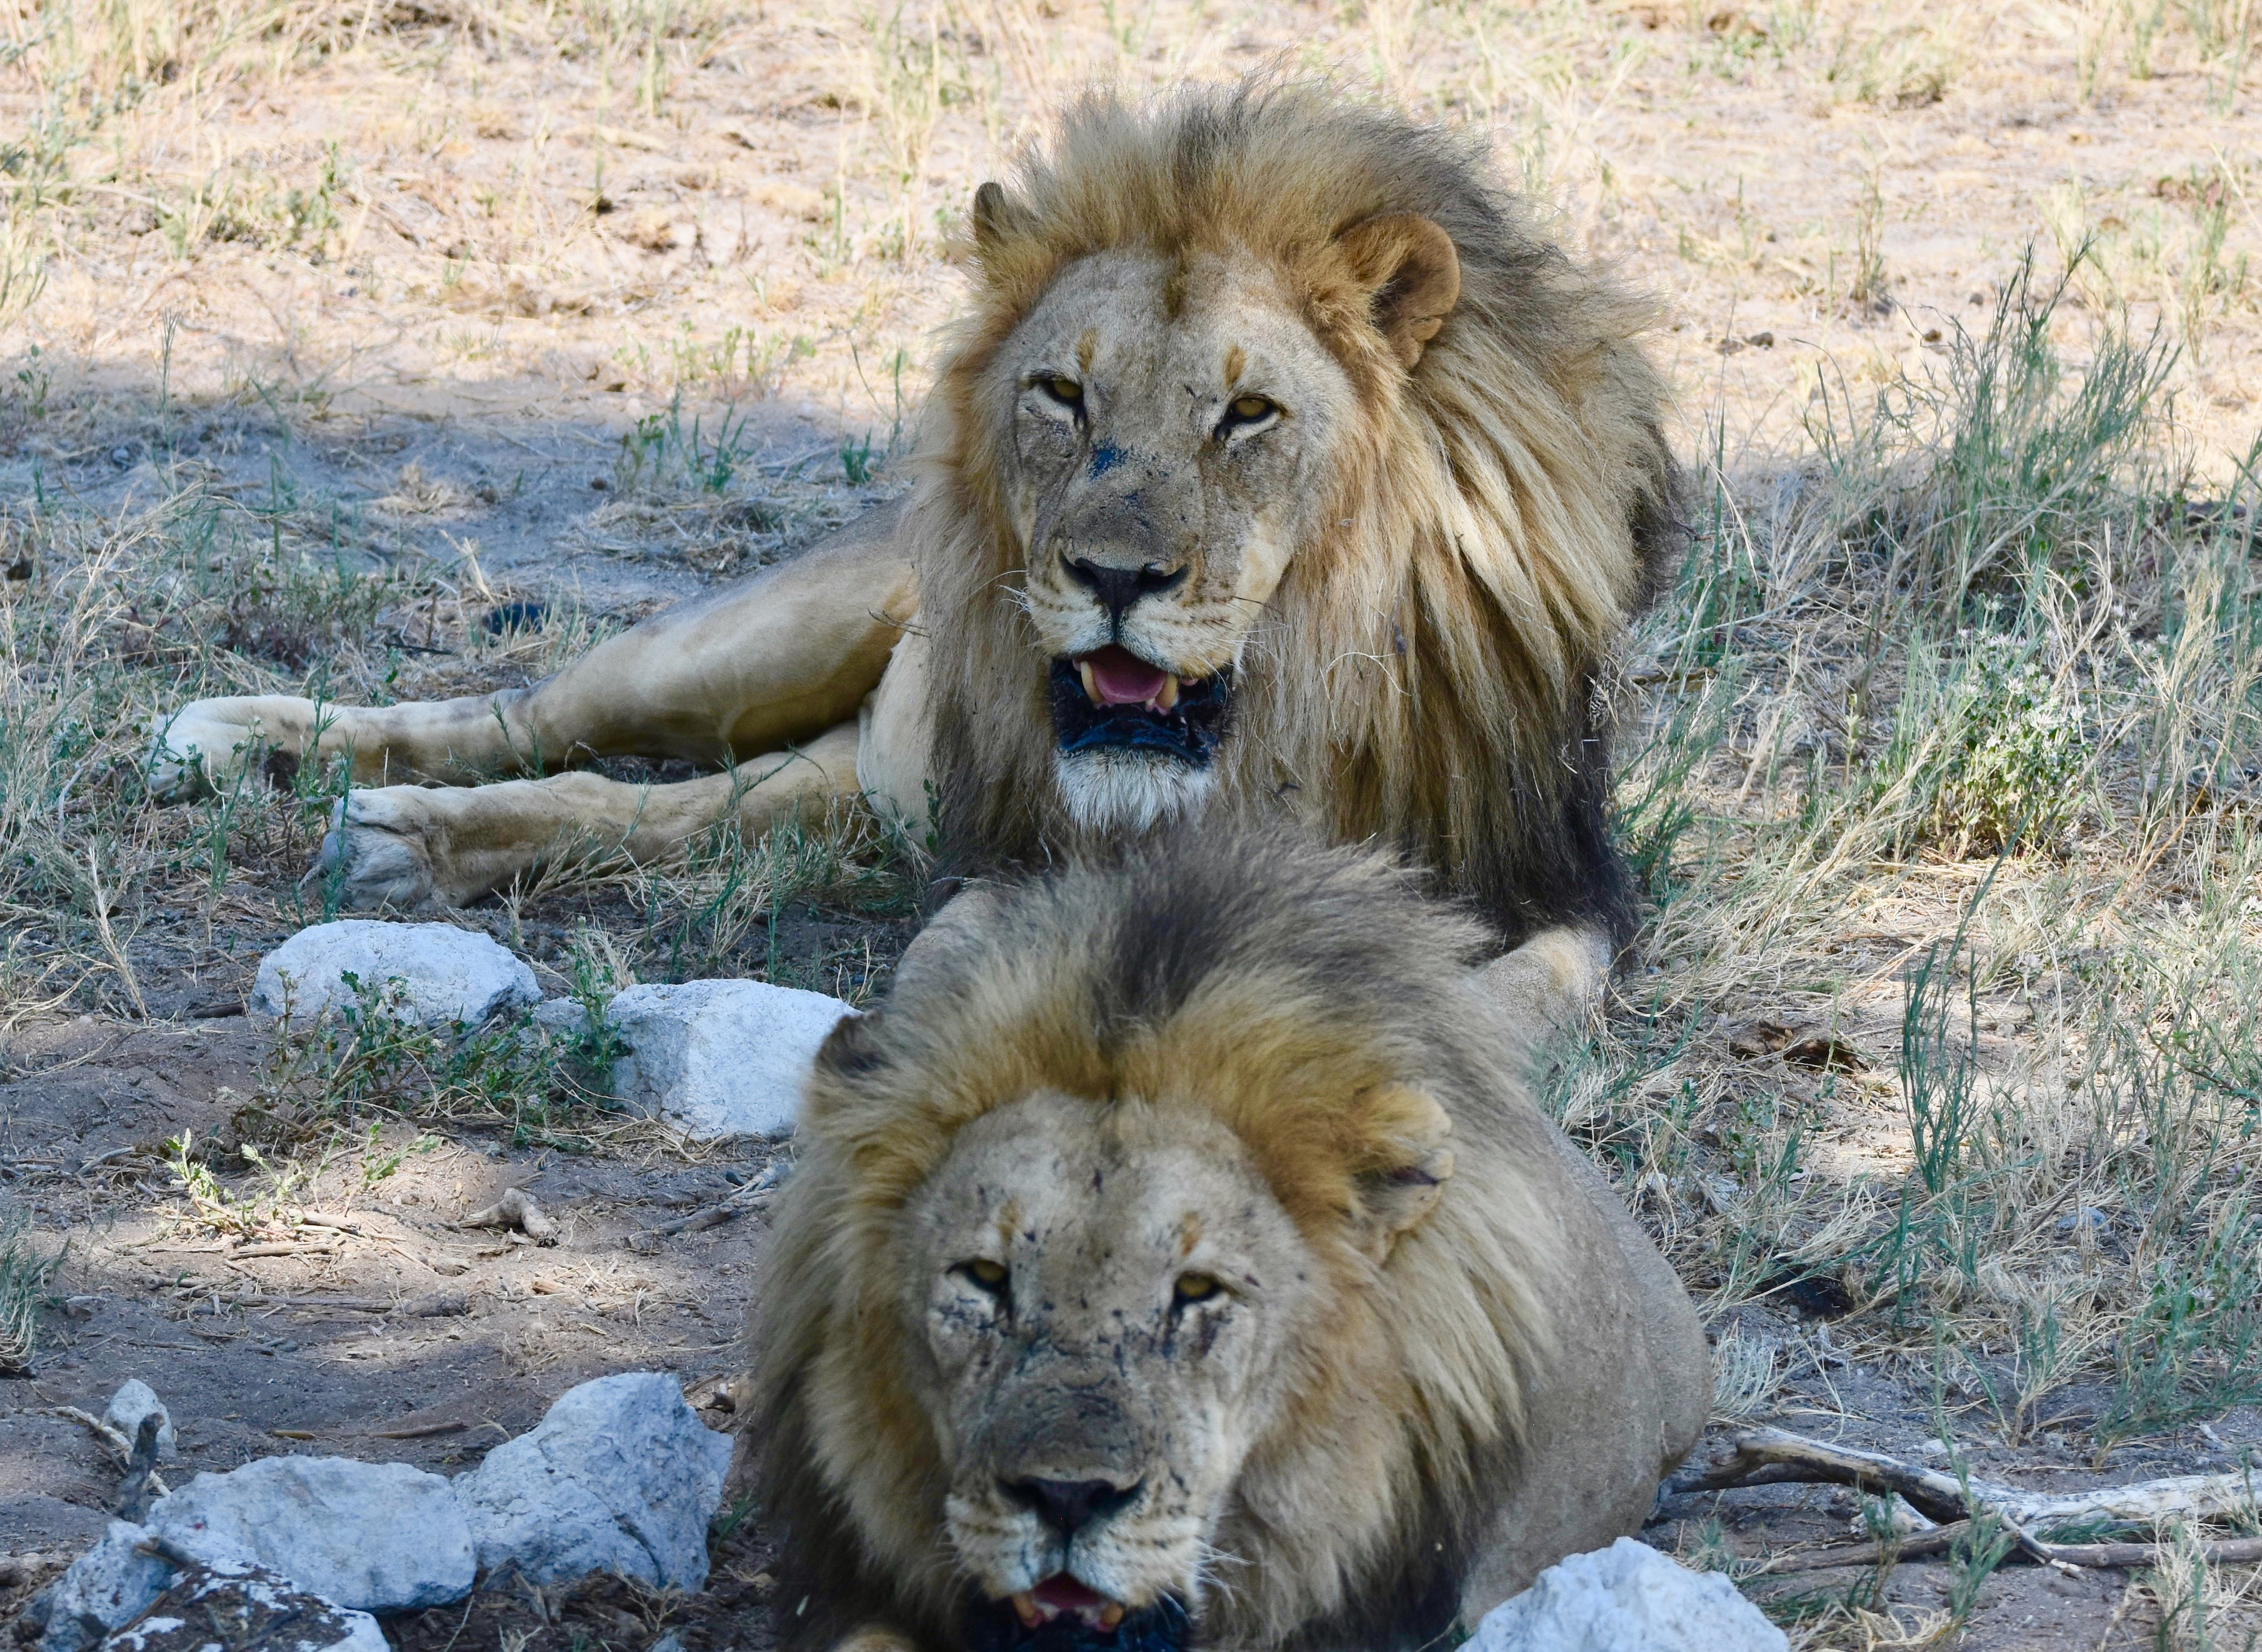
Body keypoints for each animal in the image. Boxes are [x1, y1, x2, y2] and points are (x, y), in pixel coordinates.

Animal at [150, 77, 1683, 1023]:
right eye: (1061, 394)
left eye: (1248, 414)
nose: (1111, 580)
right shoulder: (1005, 859)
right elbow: (966, 964)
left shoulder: (1563, 890)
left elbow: (1517, 998)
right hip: (744, 647)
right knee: (533, 719)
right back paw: (284, 763)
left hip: (846, 779)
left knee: (667, 809)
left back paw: (409, 849)